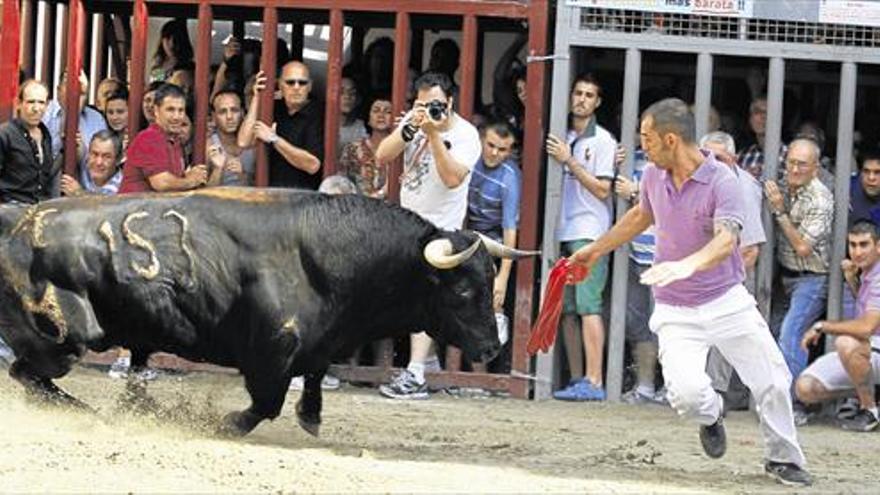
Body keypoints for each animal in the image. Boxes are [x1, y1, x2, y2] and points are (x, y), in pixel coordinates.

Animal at [0, 190, 536, 438]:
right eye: (463, 289)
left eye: (491, 282)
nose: (492, 346)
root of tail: (20, 220)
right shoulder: (270, 353)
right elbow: (267, 403)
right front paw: (227, 424)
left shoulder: (319, 343)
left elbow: (314, 376)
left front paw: (311, 416)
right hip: (64, 337)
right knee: (29, 373)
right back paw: (85, 411)